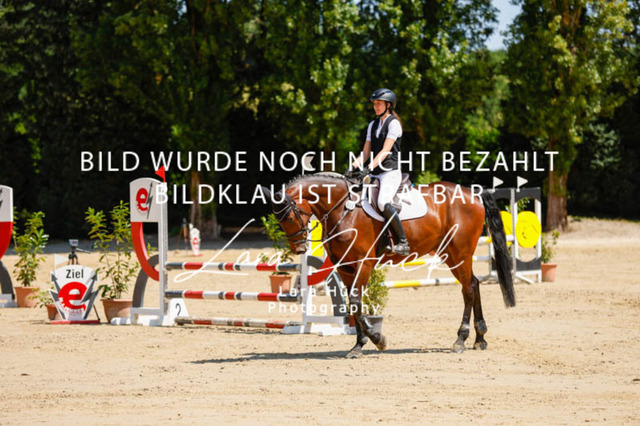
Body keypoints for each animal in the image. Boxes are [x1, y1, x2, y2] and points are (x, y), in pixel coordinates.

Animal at [263, 173, 515, 358]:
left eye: (289, 217)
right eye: (279, 220)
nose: (299, 249)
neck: (343, 209)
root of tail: (473, 194)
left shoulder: (364, 263)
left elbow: (356, 301)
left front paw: (377, 340)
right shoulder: (345, 267)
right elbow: (353, 304)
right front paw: (359, 345)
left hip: (459, 252)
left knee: (469, 289)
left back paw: (461, 339)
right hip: (451, 254)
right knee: (473, 284)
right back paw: (480, 338)